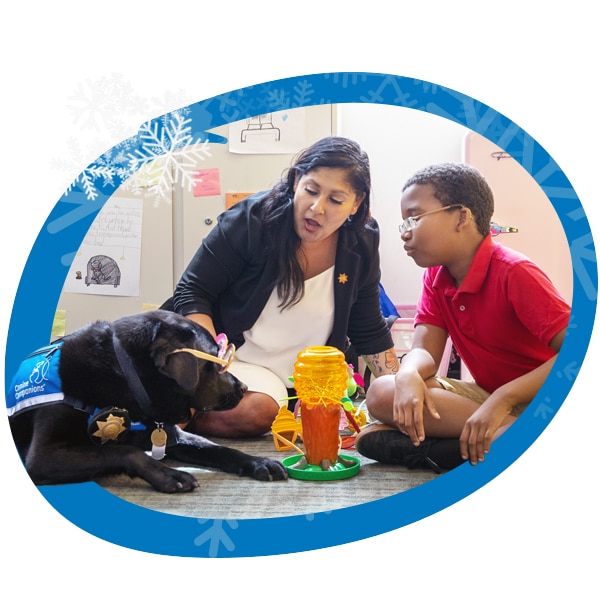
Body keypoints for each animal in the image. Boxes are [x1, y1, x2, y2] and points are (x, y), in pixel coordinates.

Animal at [7, 310, 288, 492]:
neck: (123, 375)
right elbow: (125, 451)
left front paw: (259, 462)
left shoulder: (171, 435)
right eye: (216, 364)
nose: (244, 387)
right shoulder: (43, 457)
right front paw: (168, 474)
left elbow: (219, 448)